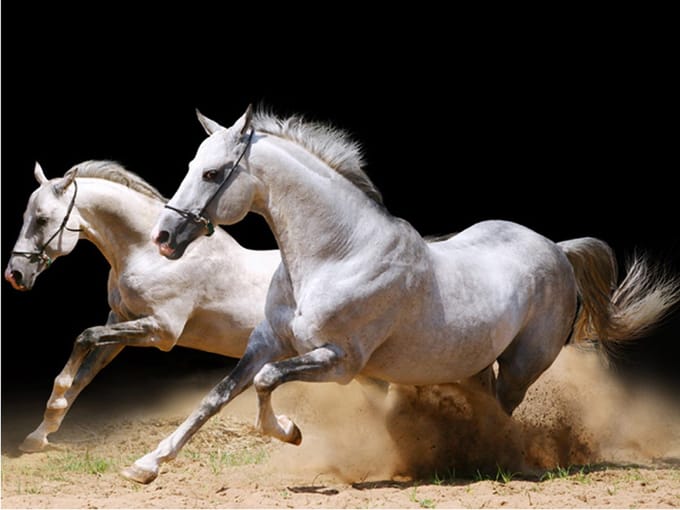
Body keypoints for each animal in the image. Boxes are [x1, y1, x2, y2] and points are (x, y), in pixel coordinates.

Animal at [4, 160, 281, 452]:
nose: (14, 275)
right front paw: (39, 434)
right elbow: (84, 374)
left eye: (42, 219)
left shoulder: (161, 331)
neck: (151, 256)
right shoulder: (119, 321)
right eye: (25, 216)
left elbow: (85, 337)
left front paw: (55, 403)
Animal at [121, 105, 679, 484]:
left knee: (503, 412)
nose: (164, 238)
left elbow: (265, 382)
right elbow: (216, 397)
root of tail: (557, 249)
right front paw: (145, 465)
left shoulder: (340, 362)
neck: (337, 254)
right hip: (474, 362)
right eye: (191, 165)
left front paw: (291, 432)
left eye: (213, 173)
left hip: (523, 364)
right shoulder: (266, 343)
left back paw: (496, 460)